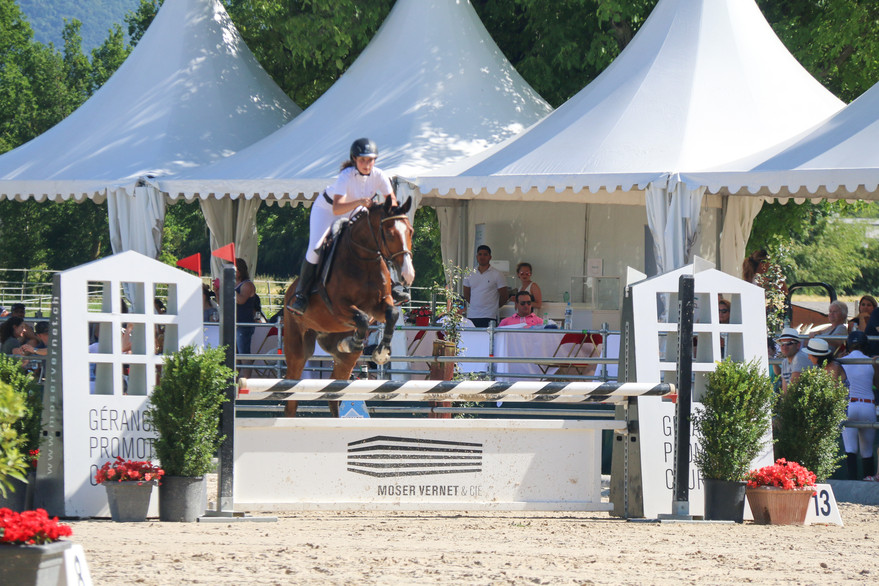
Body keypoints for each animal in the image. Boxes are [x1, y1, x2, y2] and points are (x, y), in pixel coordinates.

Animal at [282, 195, 415, 417]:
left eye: (410, 231)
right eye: (389, 233)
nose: (407, 275)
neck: (364, 258)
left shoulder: (379, 305)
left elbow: (392, 313)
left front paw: (381, 352)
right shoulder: (338, 307)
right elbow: (361, 317)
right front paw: (355, 342)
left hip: (342, 357)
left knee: (333, 391)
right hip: (297, 348)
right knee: (292, 392)